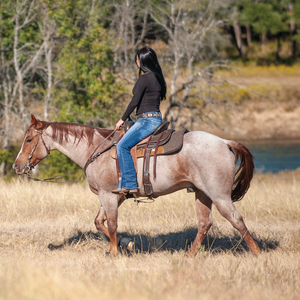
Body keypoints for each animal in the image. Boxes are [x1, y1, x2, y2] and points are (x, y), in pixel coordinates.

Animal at [12, 115, 260, 255]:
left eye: (29, 139)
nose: (17, 165)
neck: (95, 149)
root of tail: (225, 142)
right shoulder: (113, 195)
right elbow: (99, 222)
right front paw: (125, 244)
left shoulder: (108, 195)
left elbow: (111, 224)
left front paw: (114, 252)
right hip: (202, 193)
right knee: (204, 224)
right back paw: (189, 256)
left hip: (219, 196)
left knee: (236, 220)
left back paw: (256, 253)